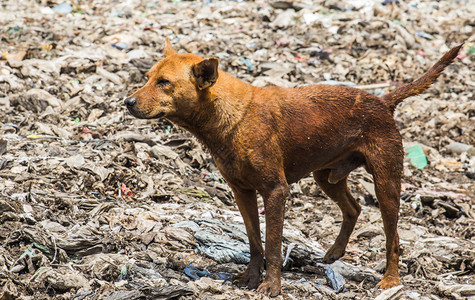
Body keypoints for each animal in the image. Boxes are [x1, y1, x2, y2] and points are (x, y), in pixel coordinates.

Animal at [124, 39, 462, 296]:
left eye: (164, 83)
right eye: (148, 77)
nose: (127, 102)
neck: (229, 116)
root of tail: (383, 100)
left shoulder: (275, 191)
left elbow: (273, 245)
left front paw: (271, 286)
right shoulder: (241, 191)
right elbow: (254, 242)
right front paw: (250, 278)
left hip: (386, 182)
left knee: (393, 237)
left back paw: (391, 280)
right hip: (326, 176)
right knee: (353, 208)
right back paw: (335, 252)